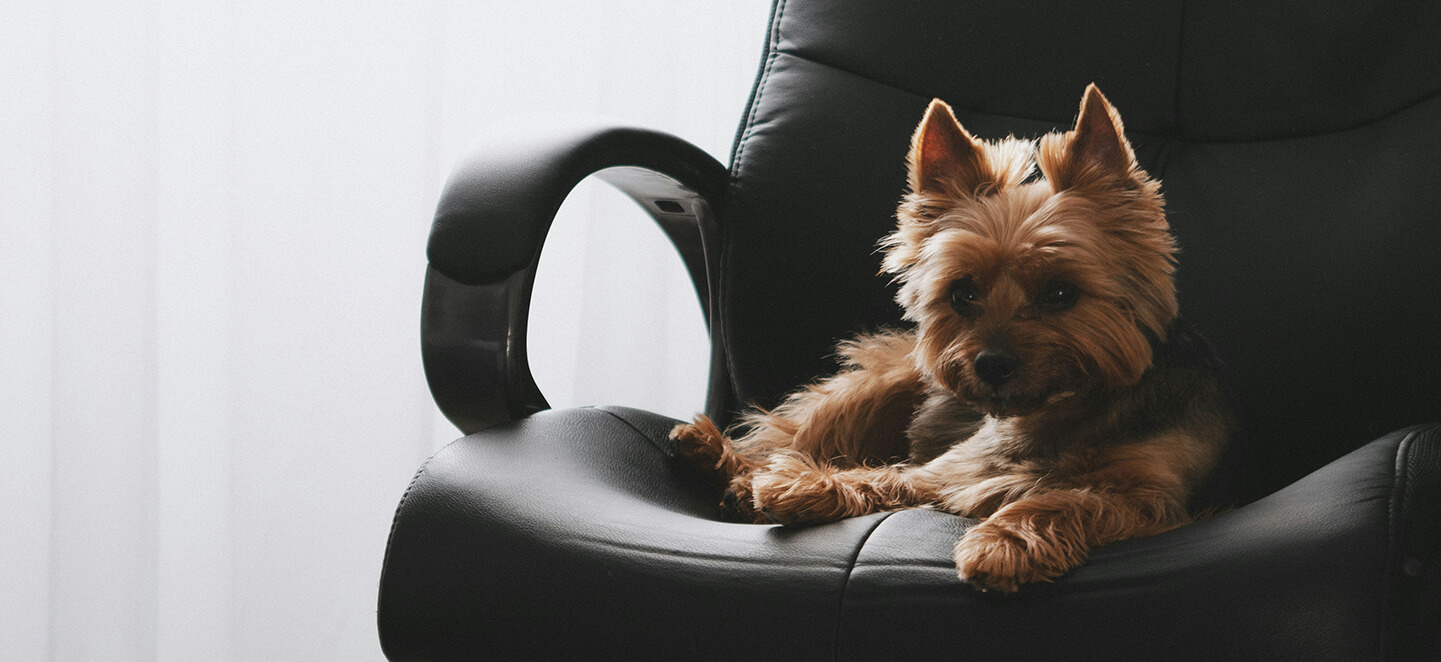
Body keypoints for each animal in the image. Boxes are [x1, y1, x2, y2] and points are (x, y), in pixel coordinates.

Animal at [668, 85, 1233, 594]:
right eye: (962, 293)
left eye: (1060, 292)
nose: (992, 363)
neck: (1061, 412)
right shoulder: (947, 470)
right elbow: (883, 475)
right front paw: (802, 484)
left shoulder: (1159, 499)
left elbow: (1072, 497)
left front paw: (1005, 541)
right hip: (884, 383)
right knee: (785, 438)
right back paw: (720, 459)